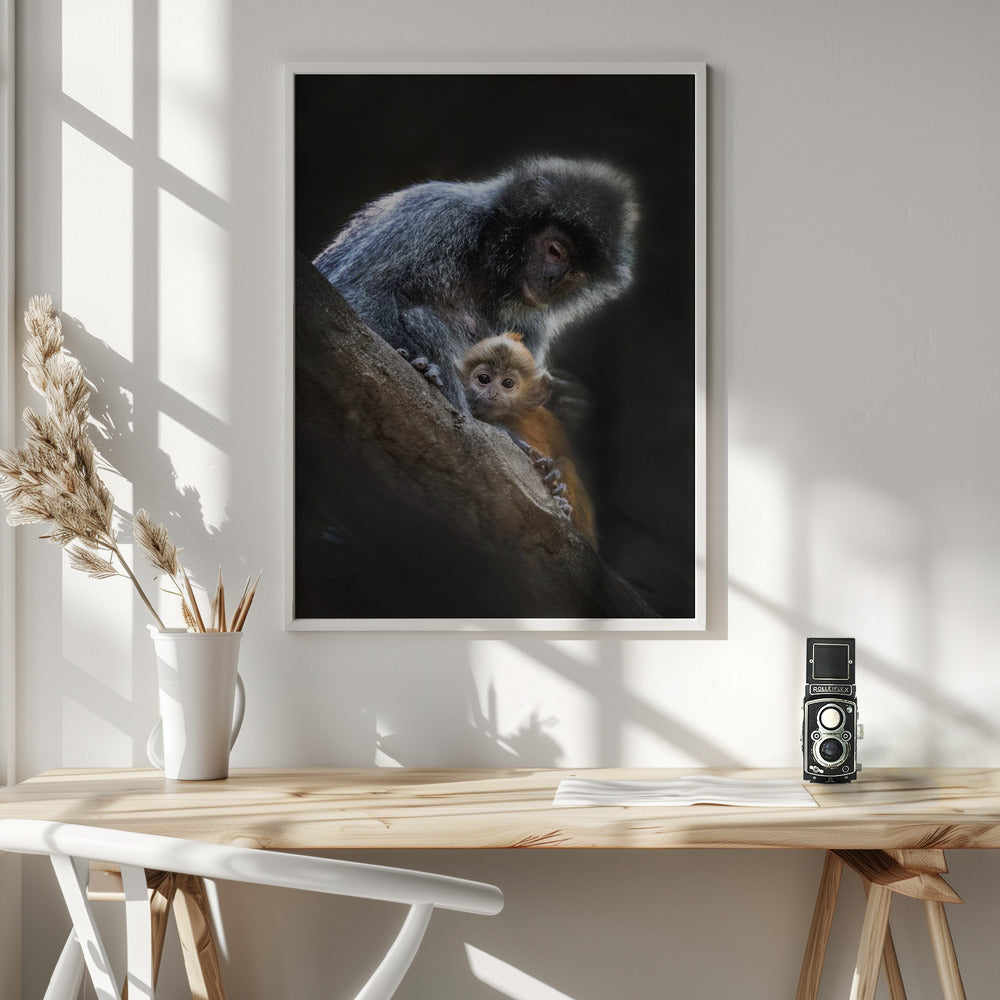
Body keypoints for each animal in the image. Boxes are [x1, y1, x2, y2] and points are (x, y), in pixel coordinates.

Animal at [313, 156, 638, 414]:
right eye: (555, 250)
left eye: (576, 274)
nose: (553, 281)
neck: (486, 264)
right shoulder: (438, 216)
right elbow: (356, 292)